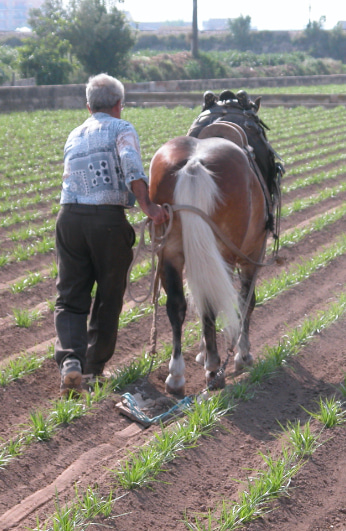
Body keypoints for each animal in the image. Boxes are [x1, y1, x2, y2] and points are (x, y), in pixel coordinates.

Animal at [149, 131, 268, 396]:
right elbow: (246, 302)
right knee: (214, 303)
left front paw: (201, 352)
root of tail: (194, 164)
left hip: (169, 251)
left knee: (177, 306)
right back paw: (214, 370)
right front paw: (243, 356)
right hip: (224, 253)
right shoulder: (253, 254)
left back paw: (176, 375)